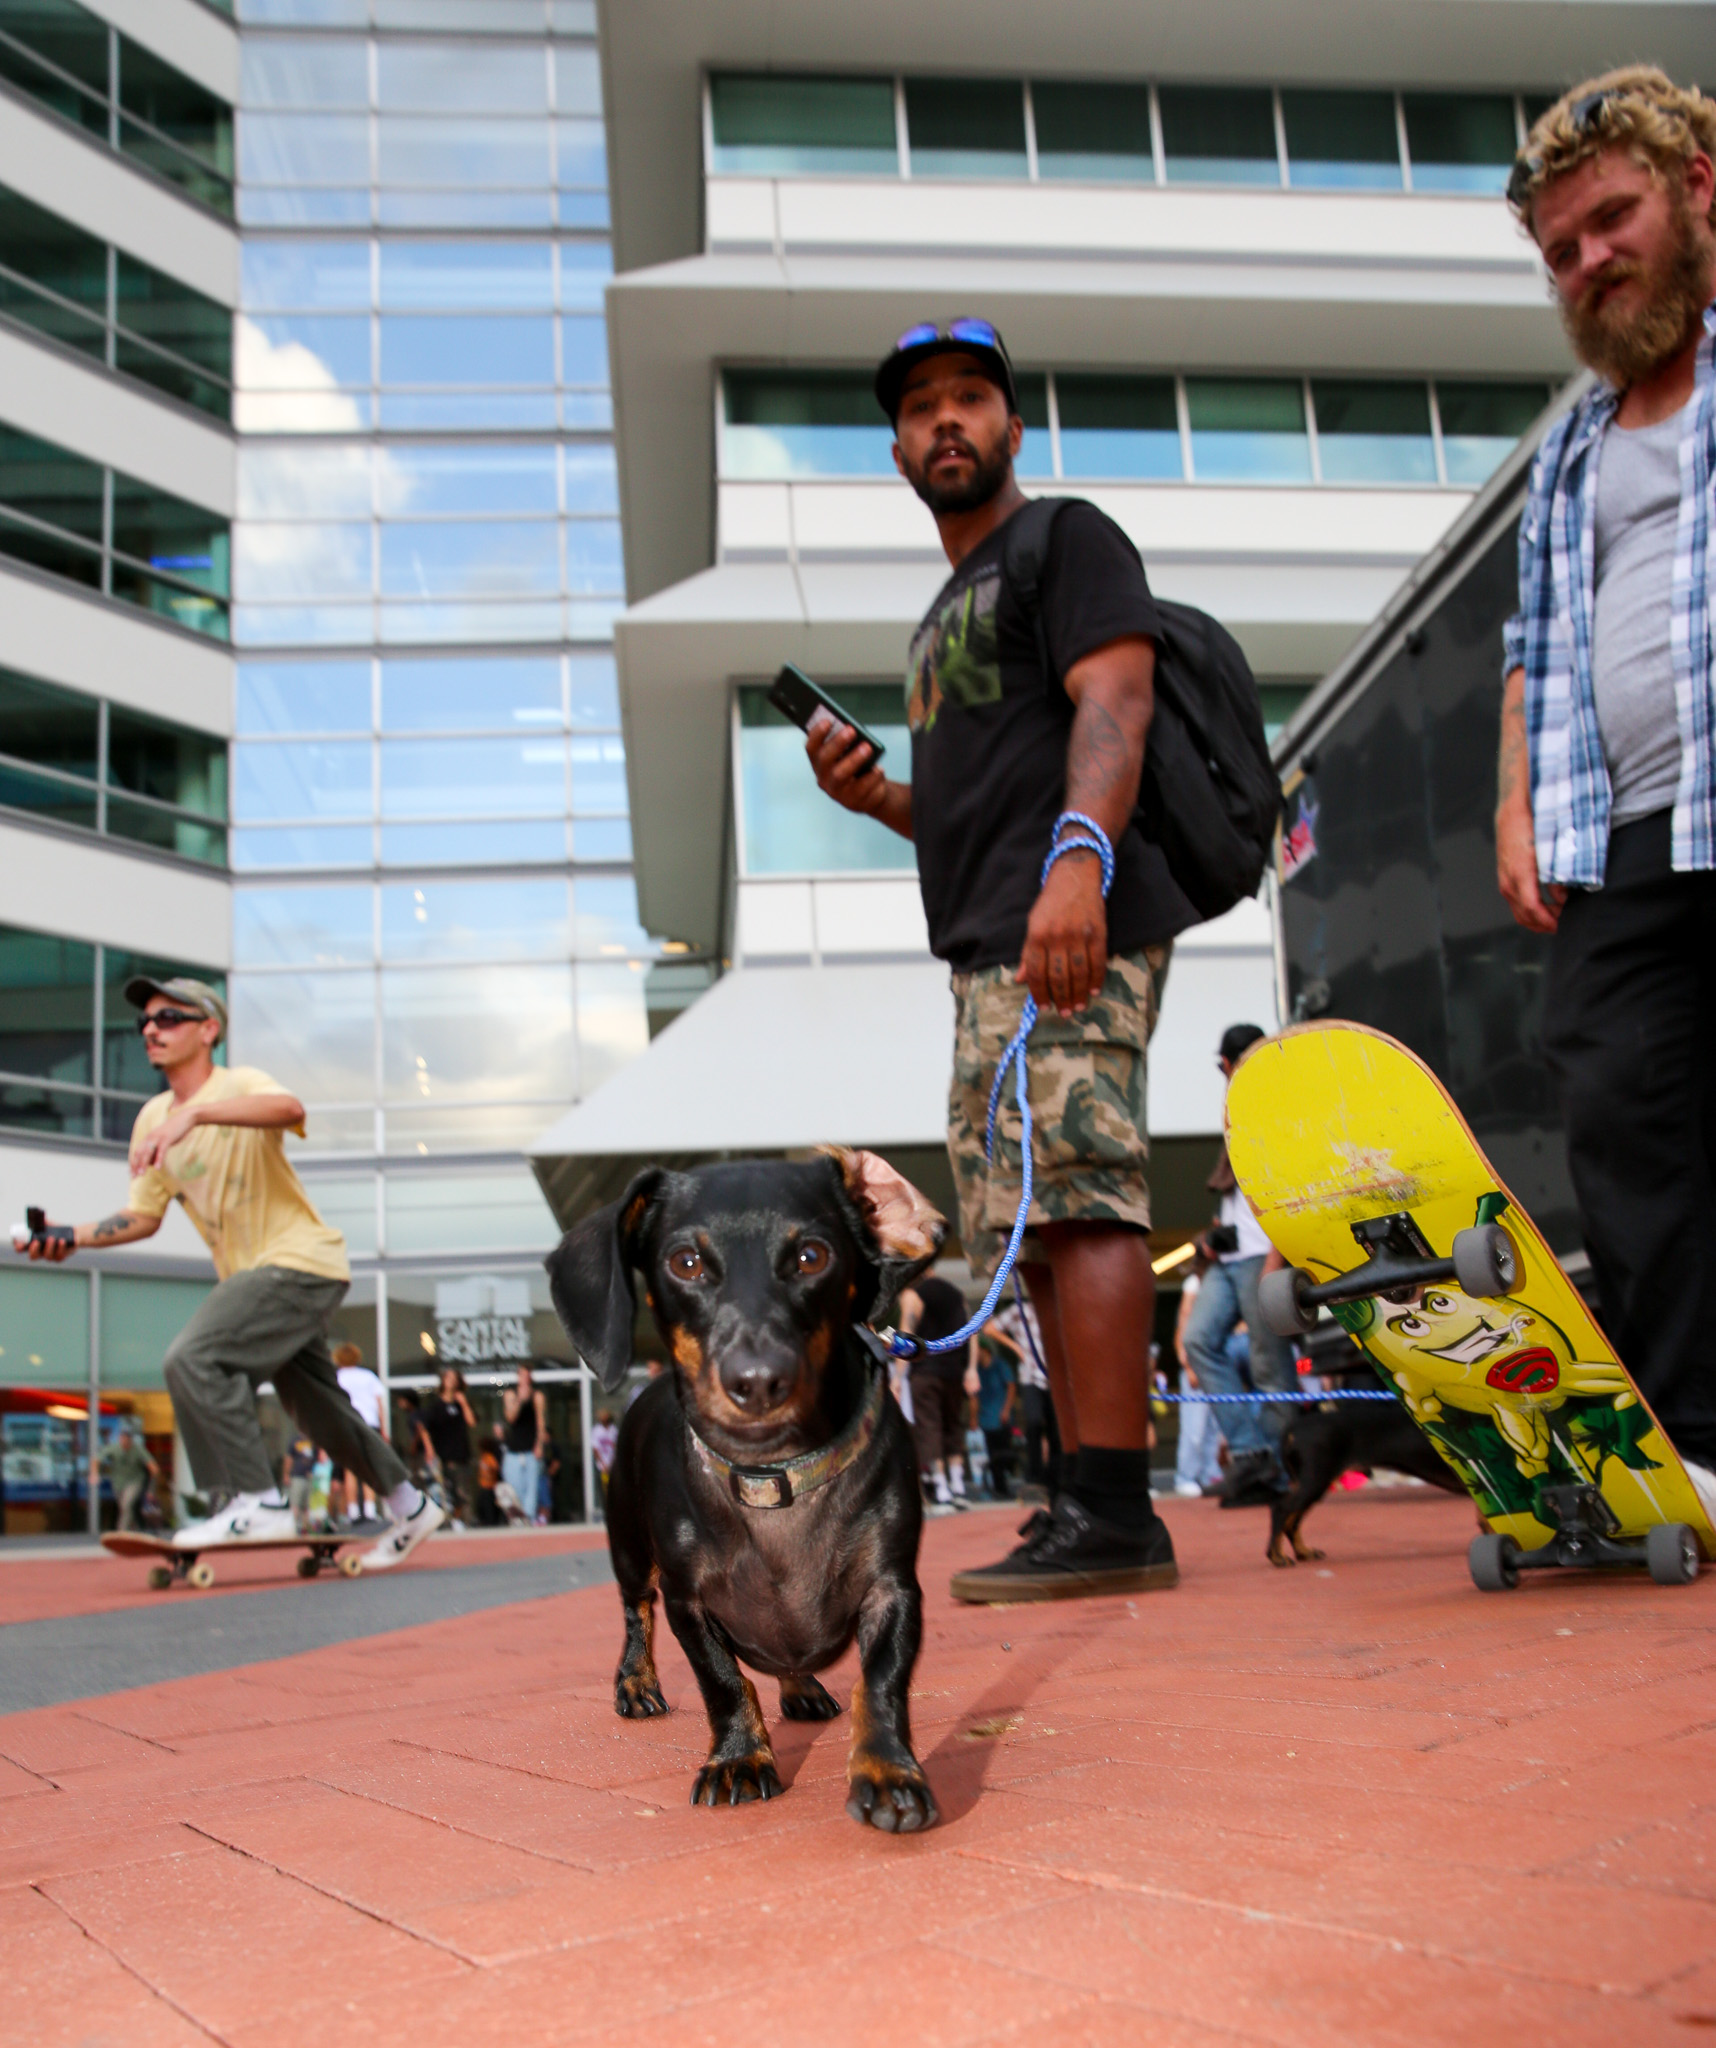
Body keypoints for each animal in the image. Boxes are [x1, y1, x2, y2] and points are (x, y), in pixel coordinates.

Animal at [552, 1146, 946, 1835]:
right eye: (686, 1263)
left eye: (811, 1256)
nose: (758, 1380)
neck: (774, 1473)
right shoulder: (687, 1603)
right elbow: (723, 1682)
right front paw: (738, 1757)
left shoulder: (894, 1589)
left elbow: (881, 1683)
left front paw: (888, 1772)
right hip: (628, 1548)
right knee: (635, 1611)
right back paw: (635, 1683)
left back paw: (801, 1686)